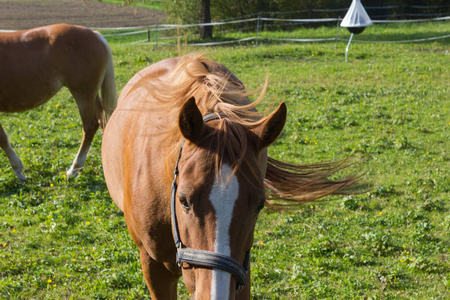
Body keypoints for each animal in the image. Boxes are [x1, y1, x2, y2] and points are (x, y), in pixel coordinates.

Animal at [0, 24, 116, 179]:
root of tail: (96, 35)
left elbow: (2, 138)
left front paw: (18, 169)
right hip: (91, 96)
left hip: (83, 95)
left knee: (90, 127)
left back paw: (74, 169)